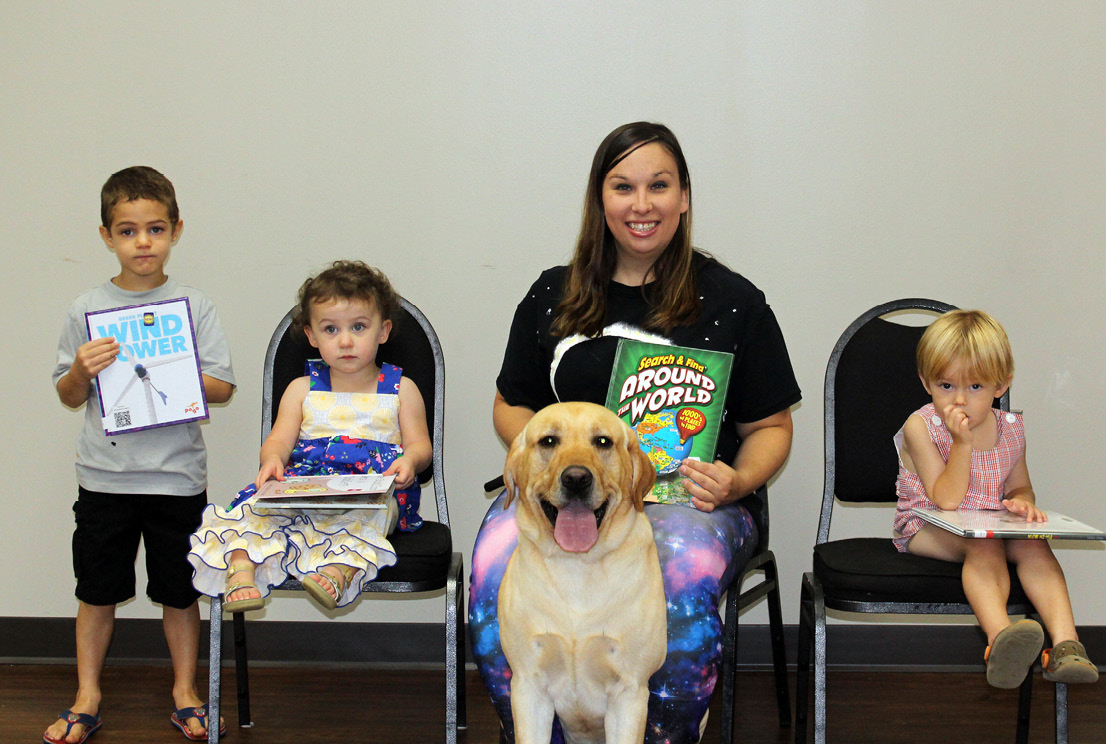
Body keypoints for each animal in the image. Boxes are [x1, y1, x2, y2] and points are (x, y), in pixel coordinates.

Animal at [502, 402, 663, 738]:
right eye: (549, 441)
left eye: (603, 442)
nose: (576, 478)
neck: (577, 564)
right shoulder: (528, 686)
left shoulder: (629, 691)